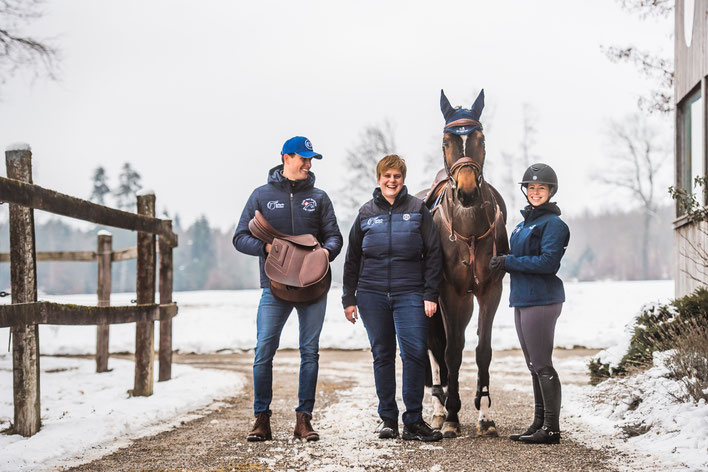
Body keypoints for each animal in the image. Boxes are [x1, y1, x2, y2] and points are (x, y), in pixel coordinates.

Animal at [420, 89, 508, 438]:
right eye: (447, 141)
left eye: (480, 138)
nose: (467, 191)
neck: (468, 229)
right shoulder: (448, 293)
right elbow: (452, 350)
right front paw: (453, 415)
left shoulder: (489, 291)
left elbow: (483, 350)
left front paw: (485, 415)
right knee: (434, 350)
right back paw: (439, 409)